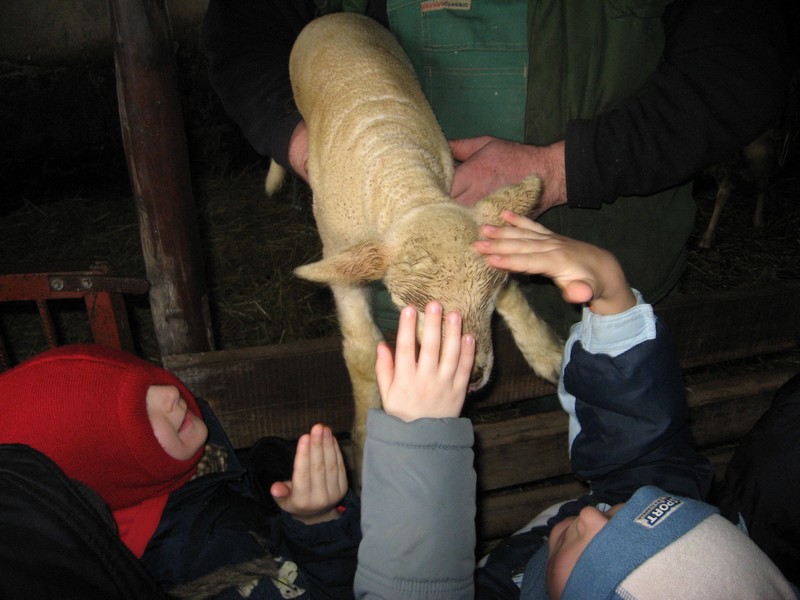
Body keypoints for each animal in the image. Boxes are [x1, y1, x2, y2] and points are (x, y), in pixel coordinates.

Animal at [266, 13, 563, 479]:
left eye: (489, 295)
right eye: (415, 306)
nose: (473, 376)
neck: (401, 178)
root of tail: (336, 16)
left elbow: (513, 291)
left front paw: (545, 351)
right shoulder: (342, 260)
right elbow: (361, 353)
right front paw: (364, 440)